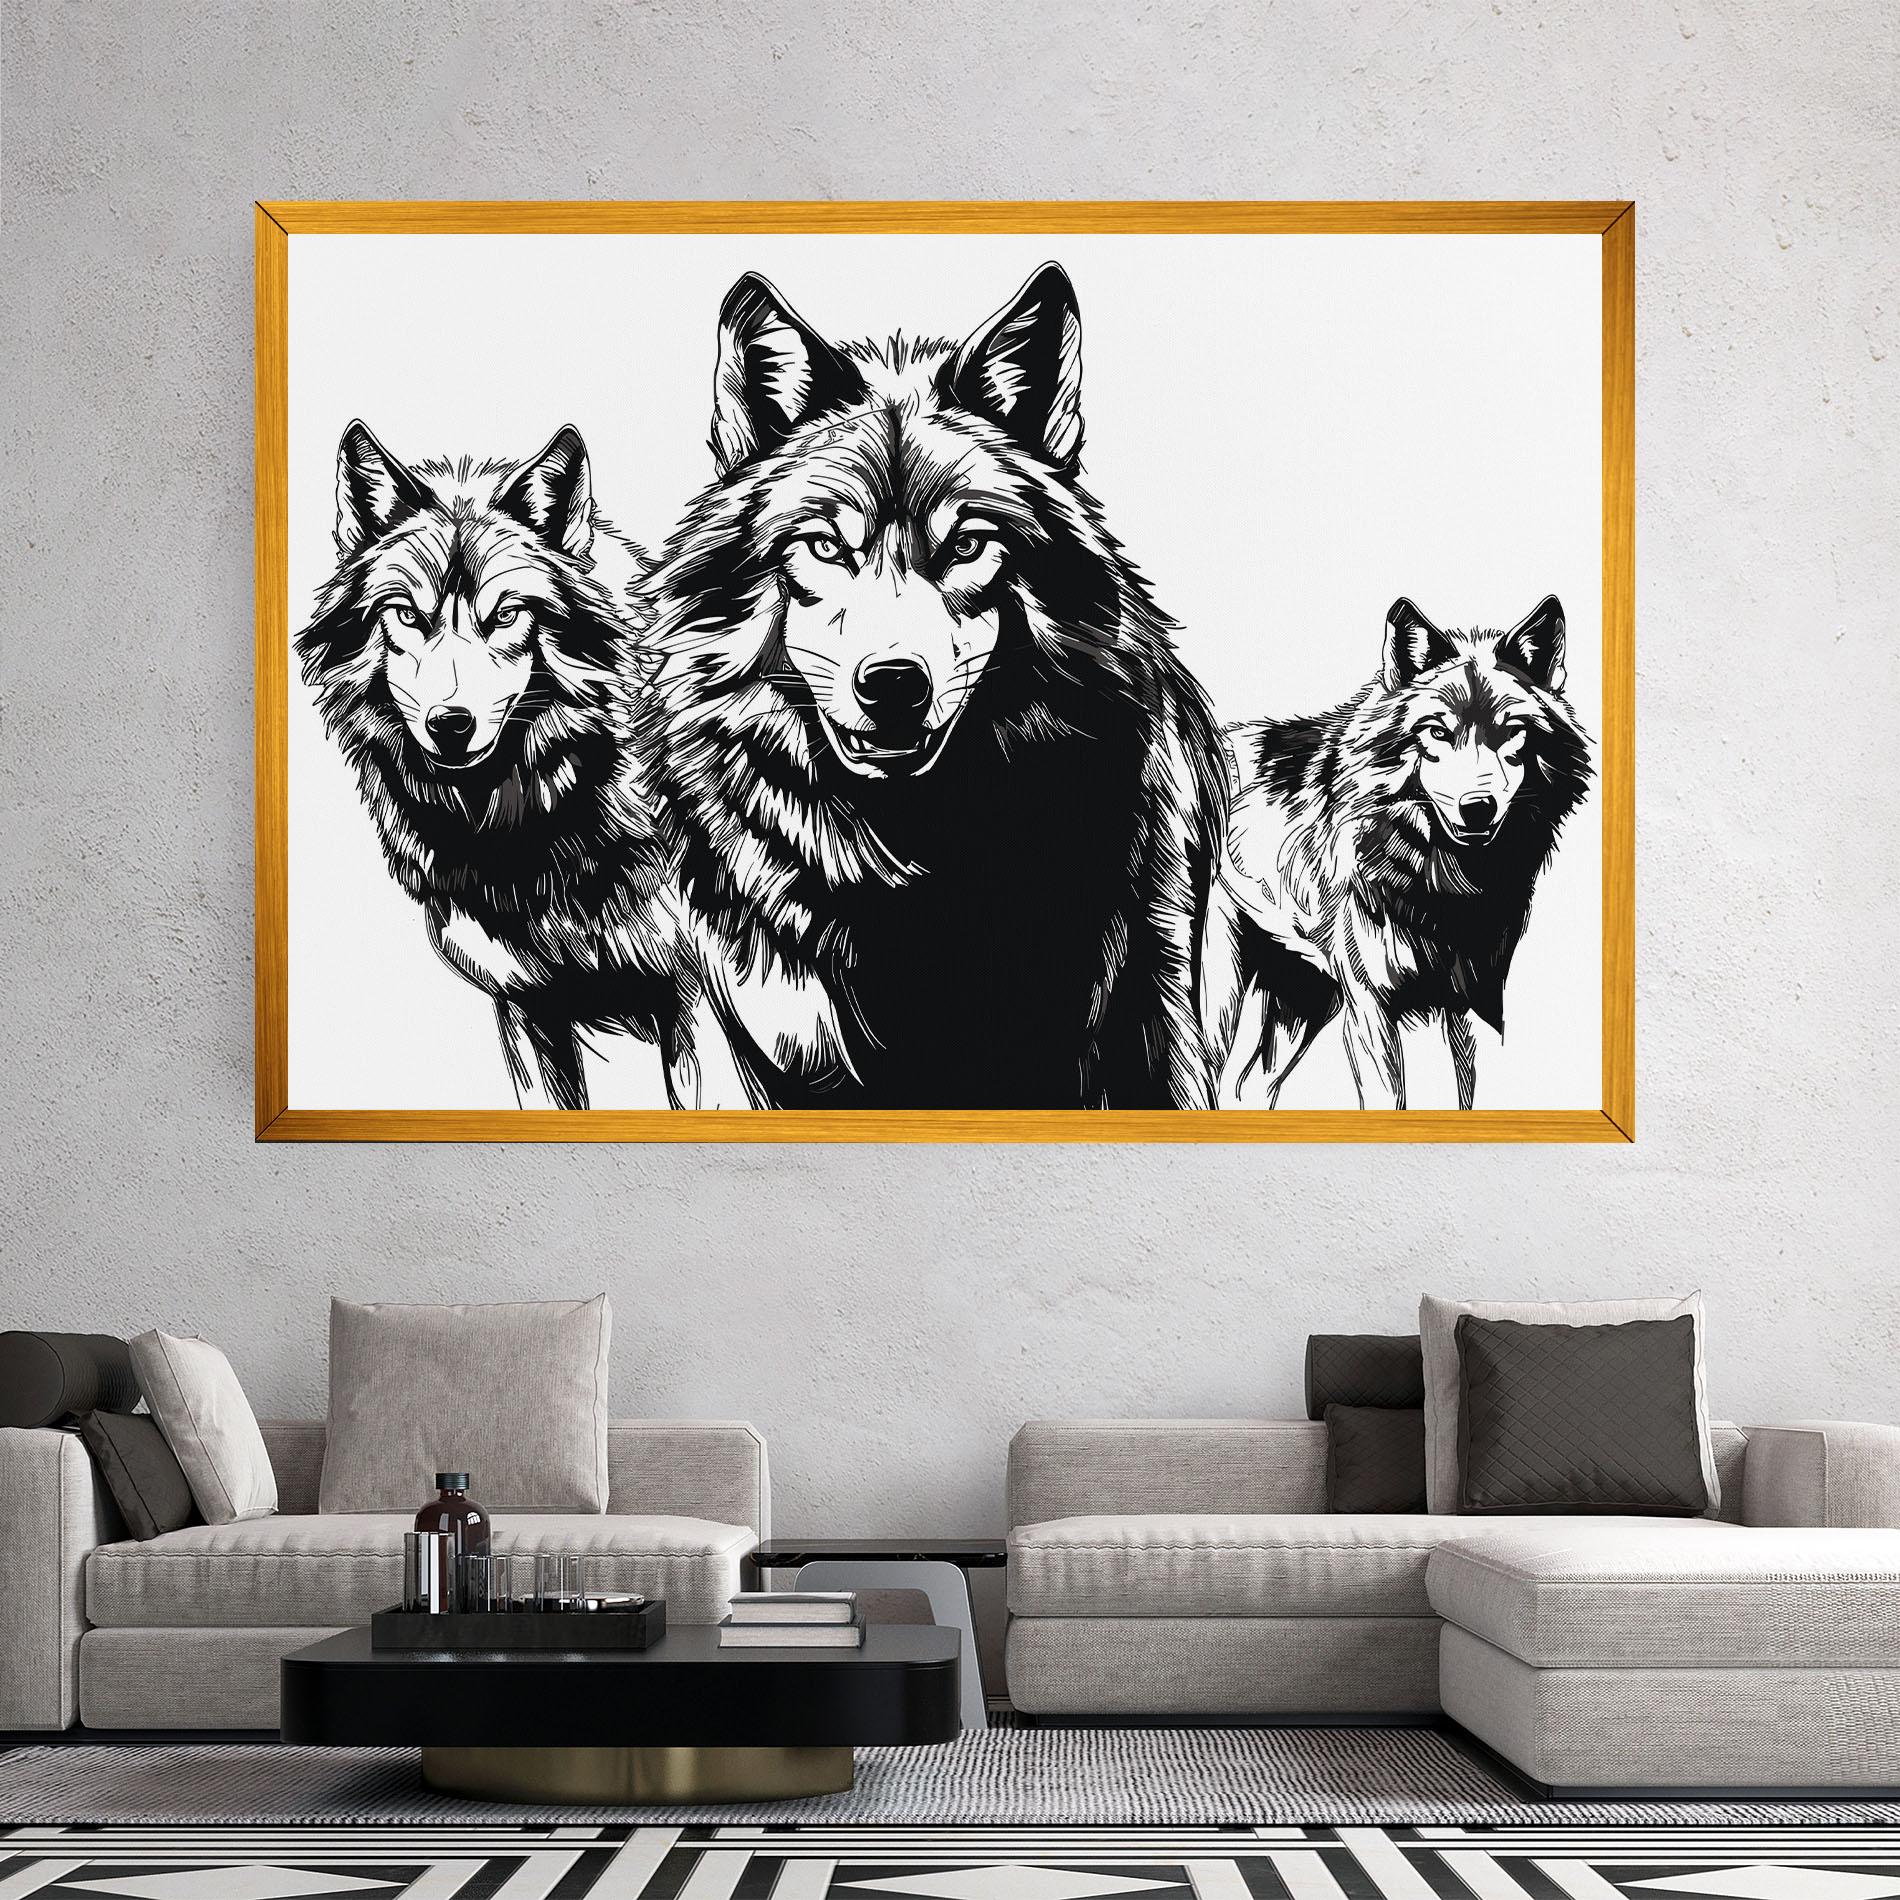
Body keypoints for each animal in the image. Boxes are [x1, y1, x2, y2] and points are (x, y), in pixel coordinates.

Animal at [1206, 595, 1592, 1110]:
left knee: (1247, 1085)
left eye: (1510, 730)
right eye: (1436, 732)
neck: (1445, 885)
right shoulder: (1371, 1008)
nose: (1478, 808)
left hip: (1305, 997)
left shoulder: (1471, 1007)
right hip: (1219, 993)